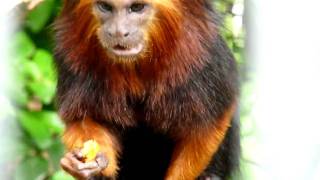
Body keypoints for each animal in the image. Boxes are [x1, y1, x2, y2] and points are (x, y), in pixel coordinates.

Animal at [55, 0, 240, 180]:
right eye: (106, 7)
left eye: (137, 7)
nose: (118, 32)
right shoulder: (74, 59)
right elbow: (85, 119)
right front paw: (87, 168)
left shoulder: (202, 62)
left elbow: (206, 127)